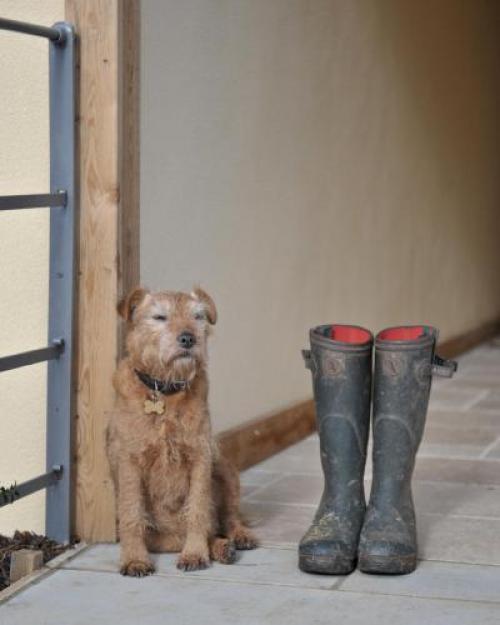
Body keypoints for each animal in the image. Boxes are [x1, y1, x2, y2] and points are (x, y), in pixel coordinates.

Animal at [106, 286, 258, 576]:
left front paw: (195, 554)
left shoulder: (200, 456)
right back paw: (220, 547)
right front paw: (134, 559)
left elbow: (197, 509)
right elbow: (132, 514)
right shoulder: (130, 462)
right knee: (180, 536)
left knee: (227, 518)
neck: (164, 392)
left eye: (198, 316)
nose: (189, 339)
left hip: (225, 469)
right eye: (159, 317)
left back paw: (236, 538)